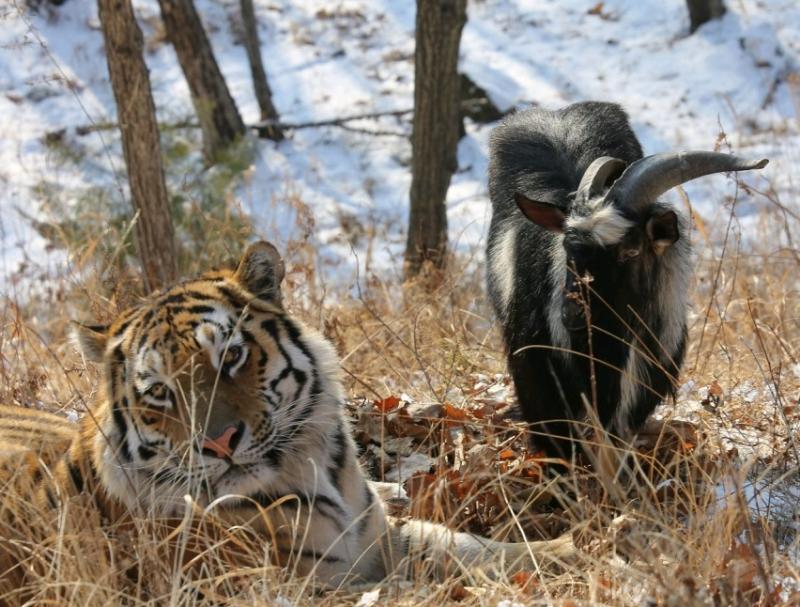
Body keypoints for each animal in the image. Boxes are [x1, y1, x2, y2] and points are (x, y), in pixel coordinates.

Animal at [1, 241, 576, 588]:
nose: (219, 443)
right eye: (160, 392)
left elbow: (468, 546)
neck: (319, 471)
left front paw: (573, 544)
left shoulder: (381, 536)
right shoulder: (302, 585)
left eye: (230, 355)